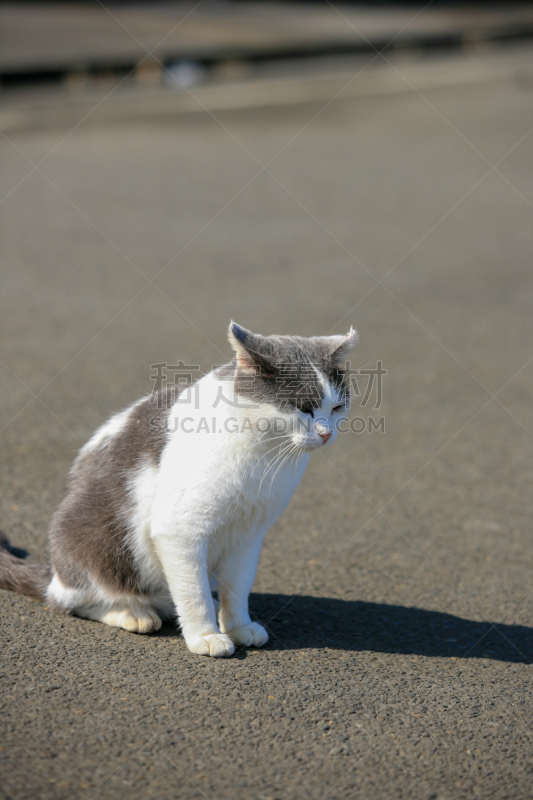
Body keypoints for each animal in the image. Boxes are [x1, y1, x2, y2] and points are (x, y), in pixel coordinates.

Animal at [2, 322, 358, 660]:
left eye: (337, 407)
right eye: (304, 408)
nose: (326, 434)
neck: (266, 453)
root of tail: (54, 571)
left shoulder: (248, 534)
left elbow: (238, 586)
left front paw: (237, 626)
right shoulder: (179, 530)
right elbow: (194, 593)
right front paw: (205, 635)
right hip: (94, 545)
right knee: (72, 601)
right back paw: (132, 613)